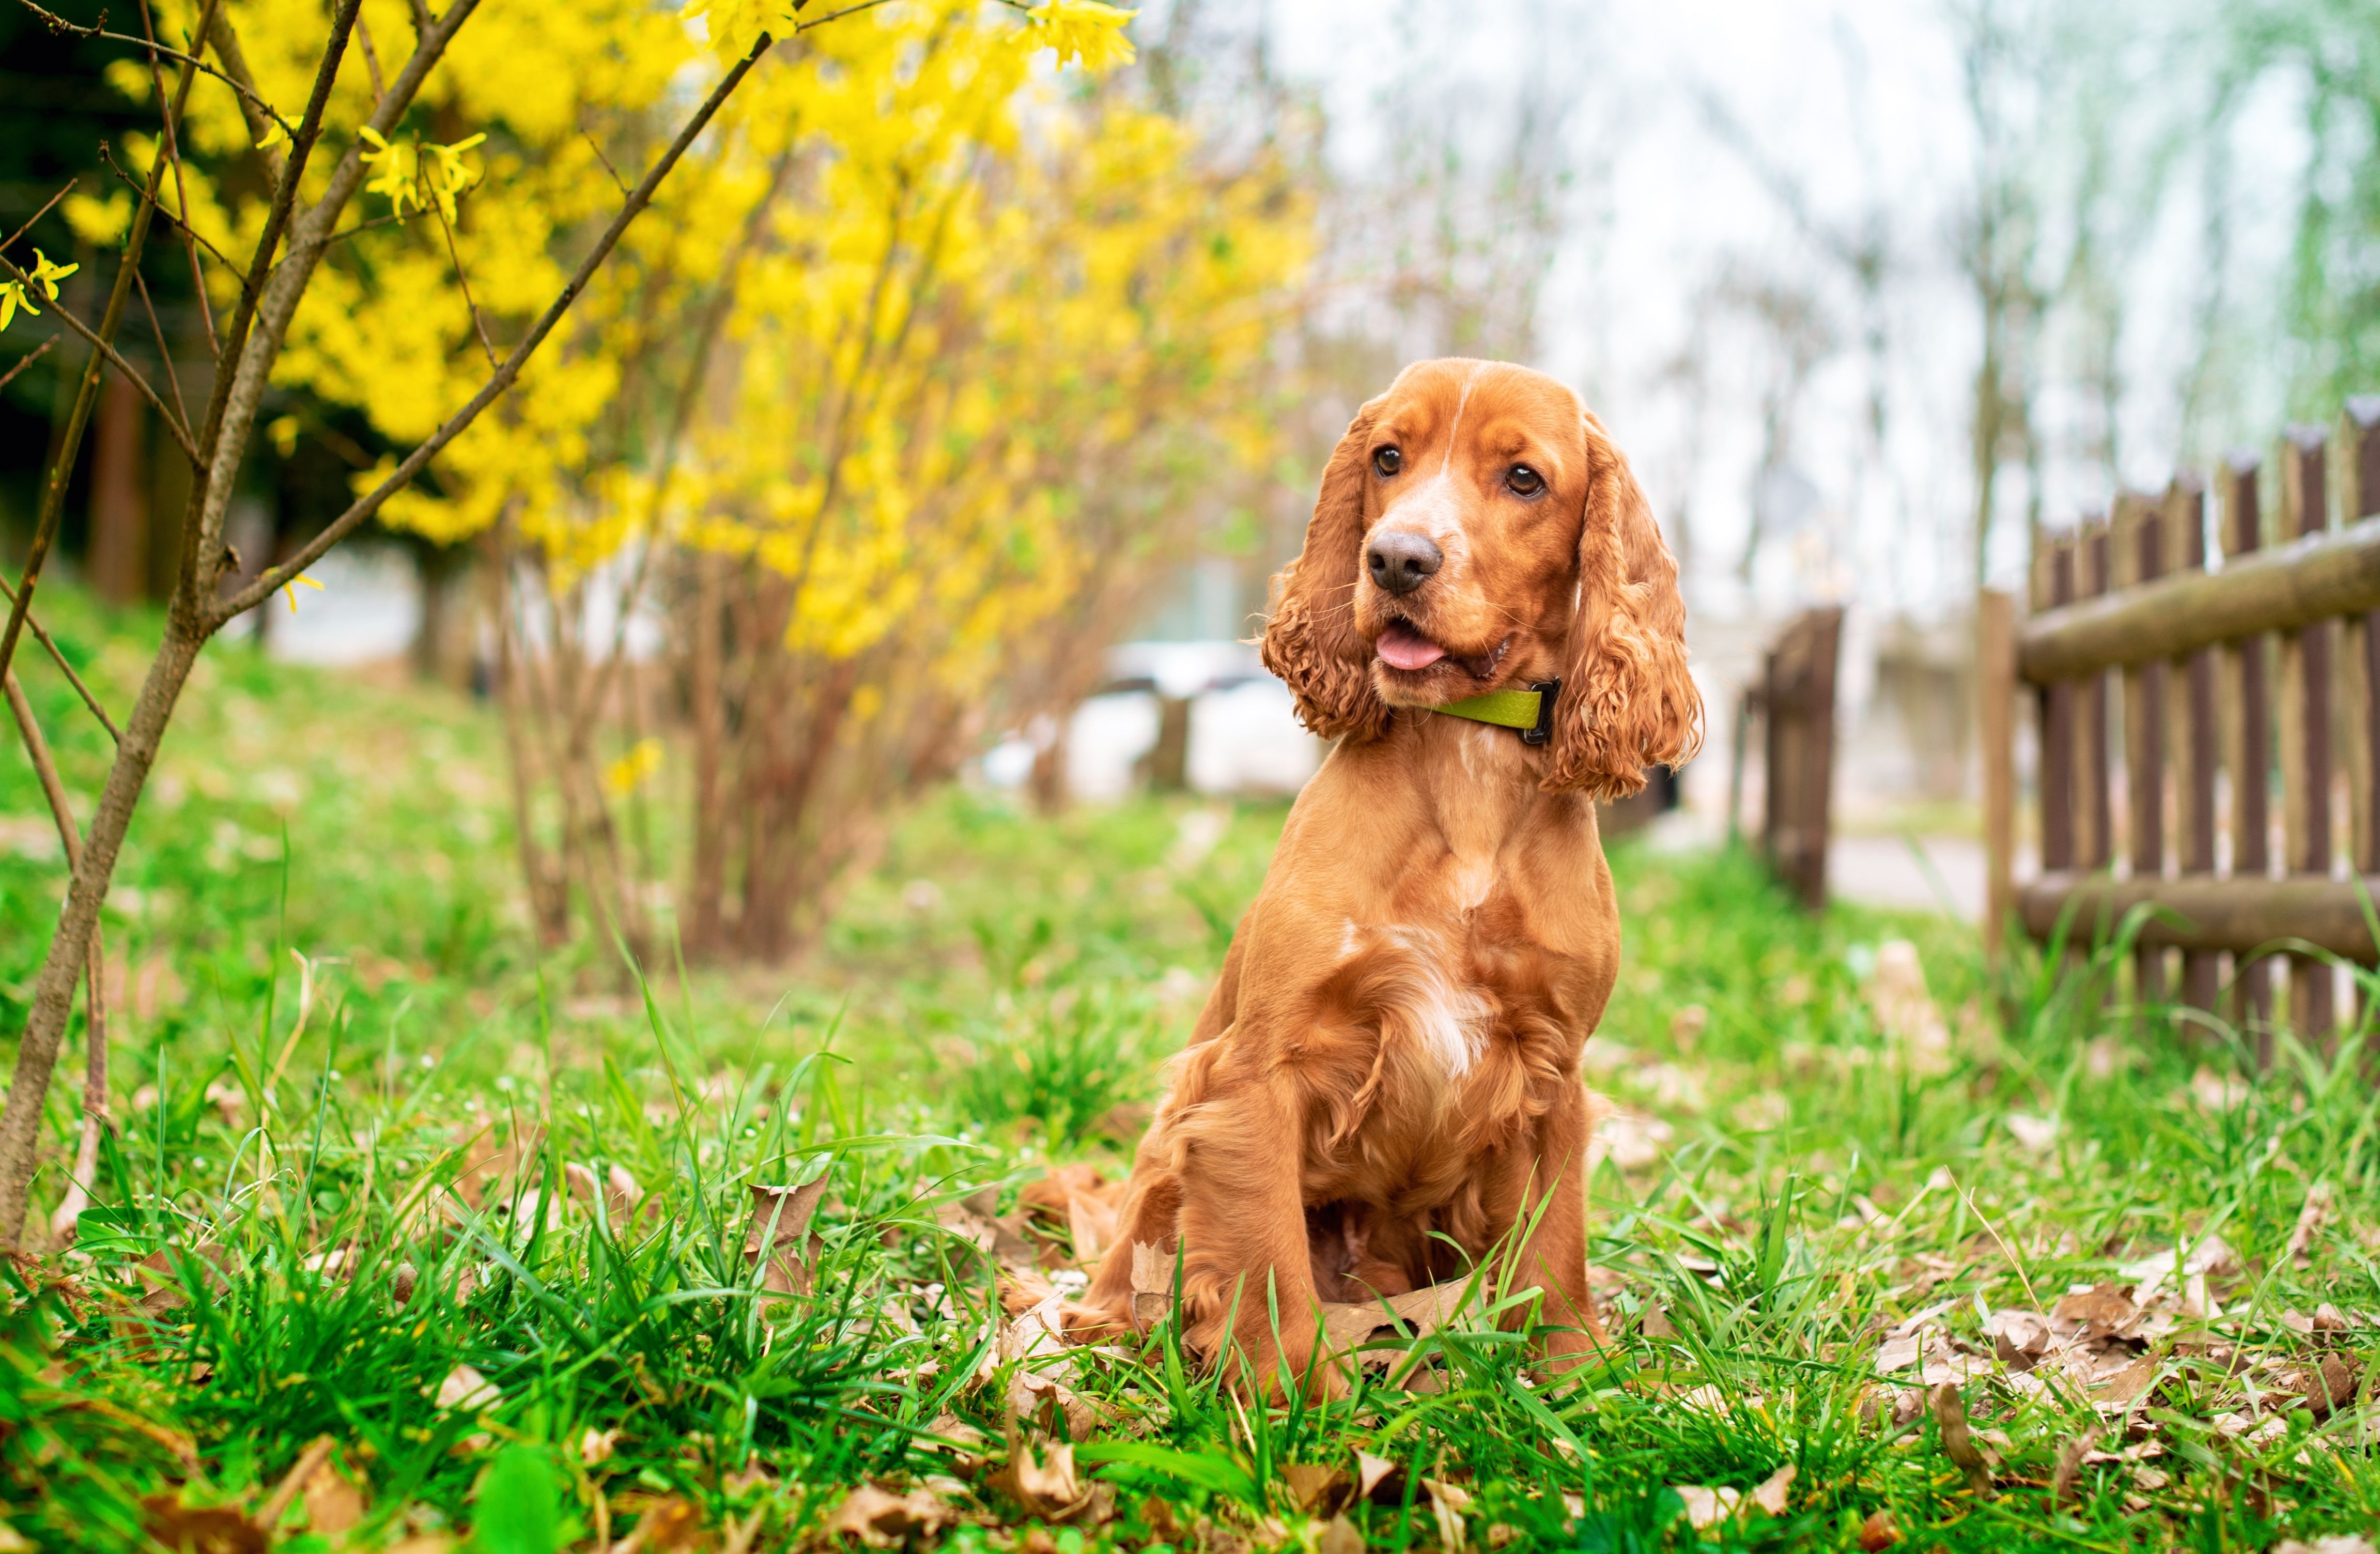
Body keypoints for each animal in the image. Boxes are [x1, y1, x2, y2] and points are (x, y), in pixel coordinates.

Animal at [1071, 357, 1704, 1390]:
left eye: (1523, 478)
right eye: (1388, 457)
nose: (1397, 559)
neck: (1465, 756)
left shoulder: (1553, 1076)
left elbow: (1556, 1250)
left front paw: (1574, 1384)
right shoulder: (1254, 1072)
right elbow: (1268, 1260)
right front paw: (1290, 1401)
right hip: (1167, 1158)